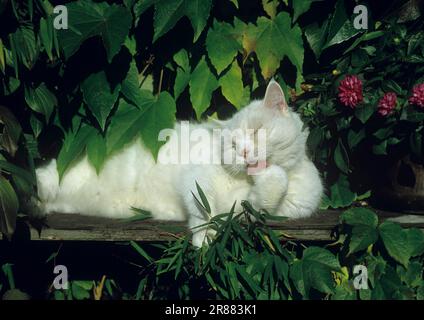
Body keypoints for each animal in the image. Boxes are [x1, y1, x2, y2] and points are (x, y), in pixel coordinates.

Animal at [34, 80, 324, 248]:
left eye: (256, 131)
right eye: (232, 145)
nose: (242, 151)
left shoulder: (258, 210)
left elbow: (266, 195)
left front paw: (271, 176)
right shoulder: (197, 178)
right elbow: (204, 208)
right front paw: (204, 238)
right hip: (57, 174)